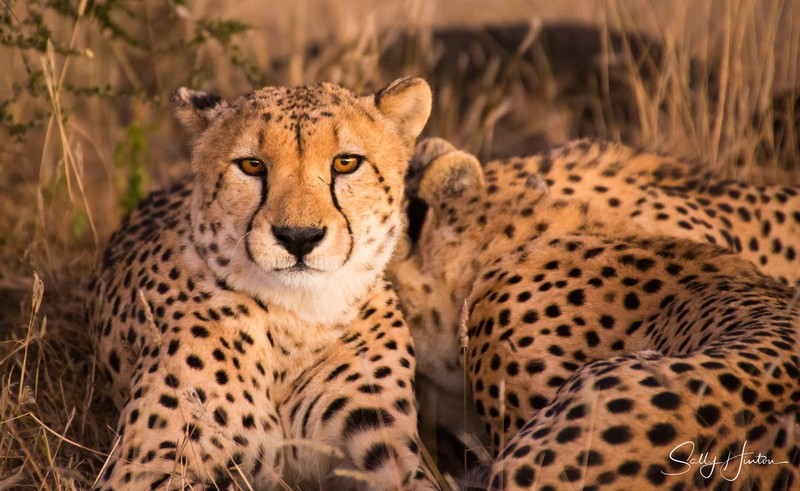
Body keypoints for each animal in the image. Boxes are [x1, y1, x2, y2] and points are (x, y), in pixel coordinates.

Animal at [85, 77, 441, 490]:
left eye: (346, 162)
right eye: (252, 165)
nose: (299, 237)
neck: (296, 319)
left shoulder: (392, 454)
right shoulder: (144, 468)